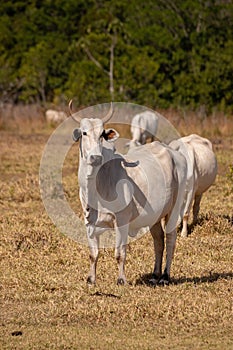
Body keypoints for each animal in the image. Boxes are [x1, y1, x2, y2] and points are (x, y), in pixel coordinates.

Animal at [70, 101, 187, 284]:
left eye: (102, 134)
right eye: (84, 132)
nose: (95, 157)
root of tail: (174, 153)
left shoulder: (122, 221)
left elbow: (120, 253)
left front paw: (121, 279)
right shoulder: (88, 221)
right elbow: (93, 254)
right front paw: (91, 279)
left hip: (174, 209)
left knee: (170, 238)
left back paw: (165, 276)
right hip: (155, 215)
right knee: (158, 240)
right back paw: (155, 275)